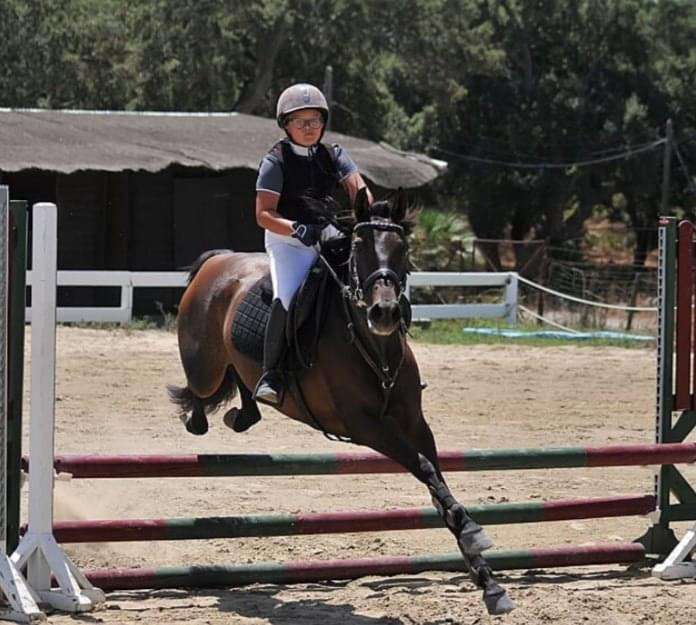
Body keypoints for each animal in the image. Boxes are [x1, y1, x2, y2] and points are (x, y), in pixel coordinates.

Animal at [168, 189, 512, 616]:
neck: (375, 347)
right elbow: (423, 467)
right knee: (198, 393)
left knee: (242, 387)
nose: (384, 312)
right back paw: (200, 419)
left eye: (403, 248)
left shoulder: (415, 422)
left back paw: (244, 412)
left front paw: (487, 578)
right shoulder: (365, 426)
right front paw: (476, 539)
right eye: (359, 246)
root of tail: (217, 260)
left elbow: (437, 481)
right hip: (205, 366)